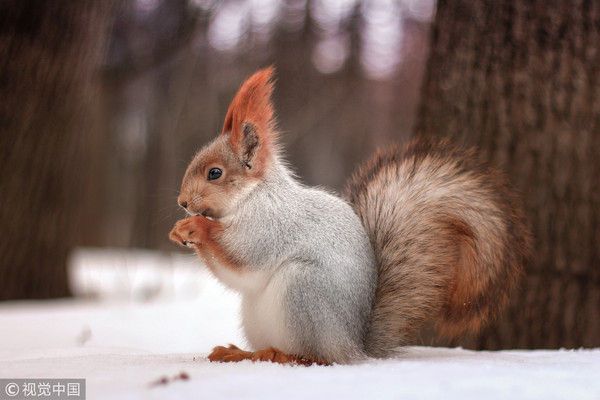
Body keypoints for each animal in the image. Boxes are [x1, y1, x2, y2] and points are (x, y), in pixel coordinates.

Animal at [169, 68, 528, 366]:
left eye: (215, 173)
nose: (183, 202)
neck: (251, 196)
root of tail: (354, 346)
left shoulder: (271, 225)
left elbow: (243, 257)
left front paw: (196, 227)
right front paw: (179, 231)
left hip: (304, 292)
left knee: (318, 358)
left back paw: (280, 356)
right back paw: (239, 352)